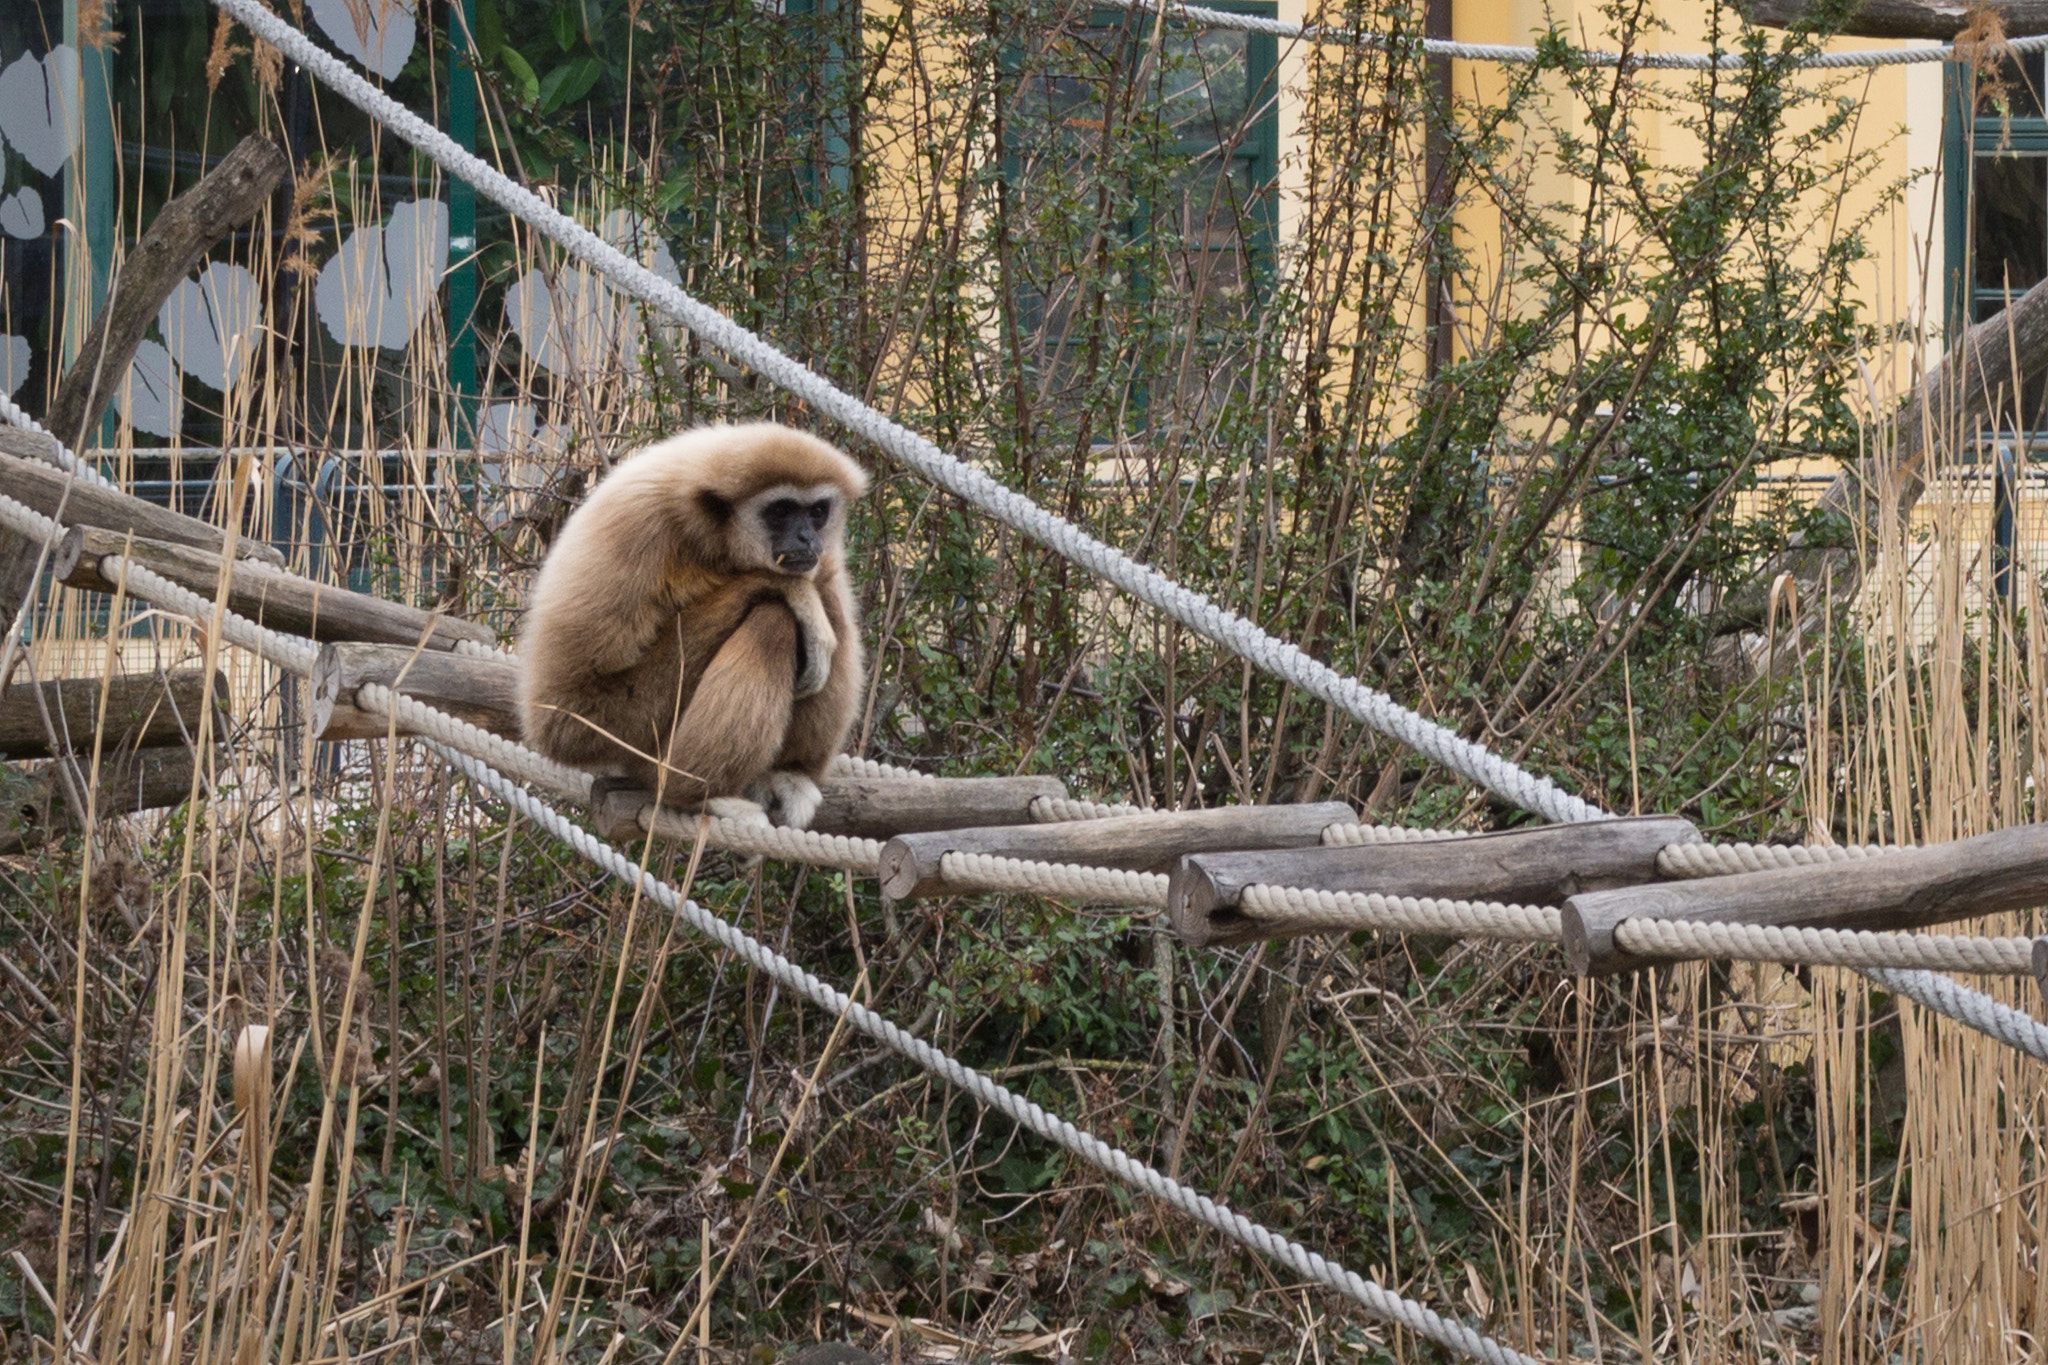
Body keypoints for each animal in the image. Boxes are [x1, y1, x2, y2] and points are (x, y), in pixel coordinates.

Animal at [516, 423, 868, 829]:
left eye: (818, 511)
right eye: (780, 510)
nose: (806, 536)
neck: (711, 533)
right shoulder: (631, 536)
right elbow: (568, 718)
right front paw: (794, 593)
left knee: (827, 597)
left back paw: (787, 775)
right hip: (646, 749)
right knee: (774, 620)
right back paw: (701, 797)